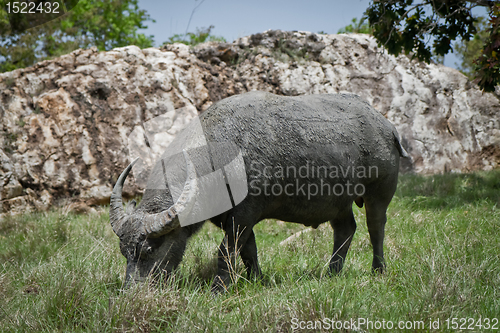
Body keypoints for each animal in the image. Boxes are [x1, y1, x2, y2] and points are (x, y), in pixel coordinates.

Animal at [109, 91, 406, 290]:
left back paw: (378, 270)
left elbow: (226, 252)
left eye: (149, 249)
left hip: (379, 193)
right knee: (345, 230)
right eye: (124, 252)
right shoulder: (234, 219)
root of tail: (387, 126)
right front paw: (257, 279)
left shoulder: (243, 215)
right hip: (338, 202)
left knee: (375, 227)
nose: (132, 292)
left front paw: (219, 288)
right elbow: (247, 251)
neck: (220, 155)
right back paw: (332, 272)